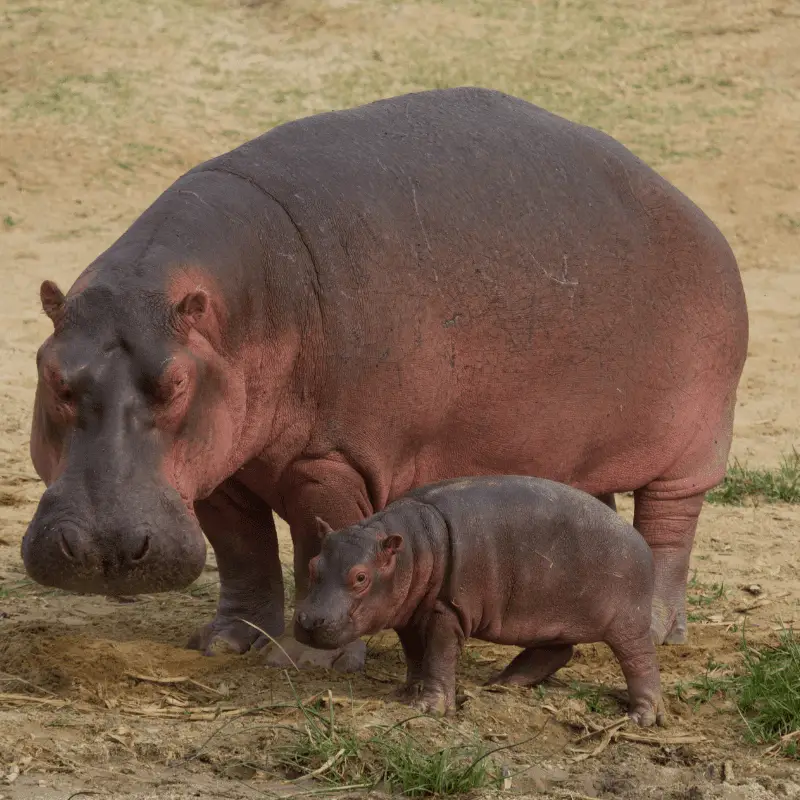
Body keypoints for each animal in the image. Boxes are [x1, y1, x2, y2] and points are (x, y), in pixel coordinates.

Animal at [25, 86, 752, 676]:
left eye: (175, 383)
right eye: (52, 373)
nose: (105, 549)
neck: (229, 308)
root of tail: (694, 210)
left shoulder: (331, 461)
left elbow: (320, 542)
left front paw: (312, 660)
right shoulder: (220, 468)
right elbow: (242, 552)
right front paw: (229, 642)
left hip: (690, 445)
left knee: (669, 527)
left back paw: (657, 627)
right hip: (569, 451)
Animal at [294, 476, 664, 724]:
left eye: (360, 577)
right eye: (313, 564)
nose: (309, 621)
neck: (411, 548)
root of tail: (641, 543)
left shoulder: (448, 610)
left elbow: (438, 656)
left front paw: (429, 708)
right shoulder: (408, 612)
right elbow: (415, 655)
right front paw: (407, 693)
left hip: (628, 621)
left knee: (640, 661)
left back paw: (642, 717)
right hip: (551, 615)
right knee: (558, 650)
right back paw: (502, 683)